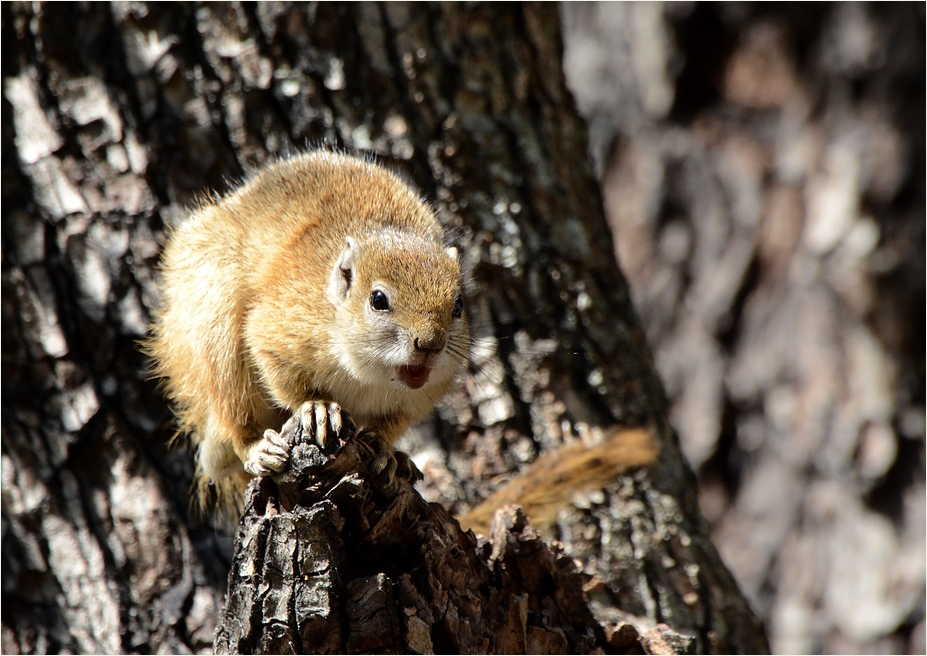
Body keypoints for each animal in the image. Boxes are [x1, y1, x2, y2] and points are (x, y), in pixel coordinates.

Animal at [148, 150, 468, 512]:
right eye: (378, 300)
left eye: (459, 304)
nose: (430, 344)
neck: (369, 375)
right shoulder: (276, 330)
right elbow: (286, 379)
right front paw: (316, 407)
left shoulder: (425, 392)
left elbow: (393, 424)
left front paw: (386, 451)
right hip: (218, 338)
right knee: (236, 420)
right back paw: (260, 449)